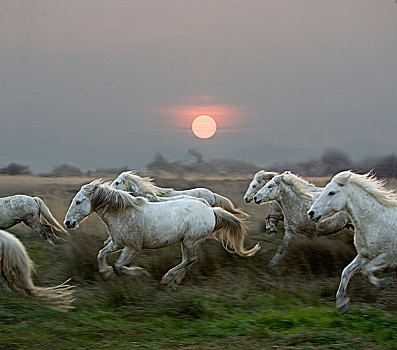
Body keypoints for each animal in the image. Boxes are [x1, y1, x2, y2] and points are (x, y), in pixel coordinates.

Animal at [63, 180, 258, 288]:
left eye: (79, 202)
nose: (68, 223)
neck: (123, 213)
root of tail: (211, 210)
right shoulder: (117, 243)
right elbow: (100, 254)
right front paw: (106, 273)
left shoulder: (132, 248)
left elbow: (119, 265)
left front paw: (140, 273)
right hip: (187, 242)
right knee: (188, 260)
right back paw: (174, 281)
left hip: (190, 240)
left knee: (190, 259)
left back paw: (167, 279)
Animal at [308, 170, 396, 314]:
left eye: (331, 192)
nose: (311, 213)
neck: (376, 220)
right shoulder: (364, 255)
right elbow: (346, 272)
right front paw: (342, 304)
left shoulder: (389, 256)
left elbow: (366, 270)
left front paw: (384, 283)